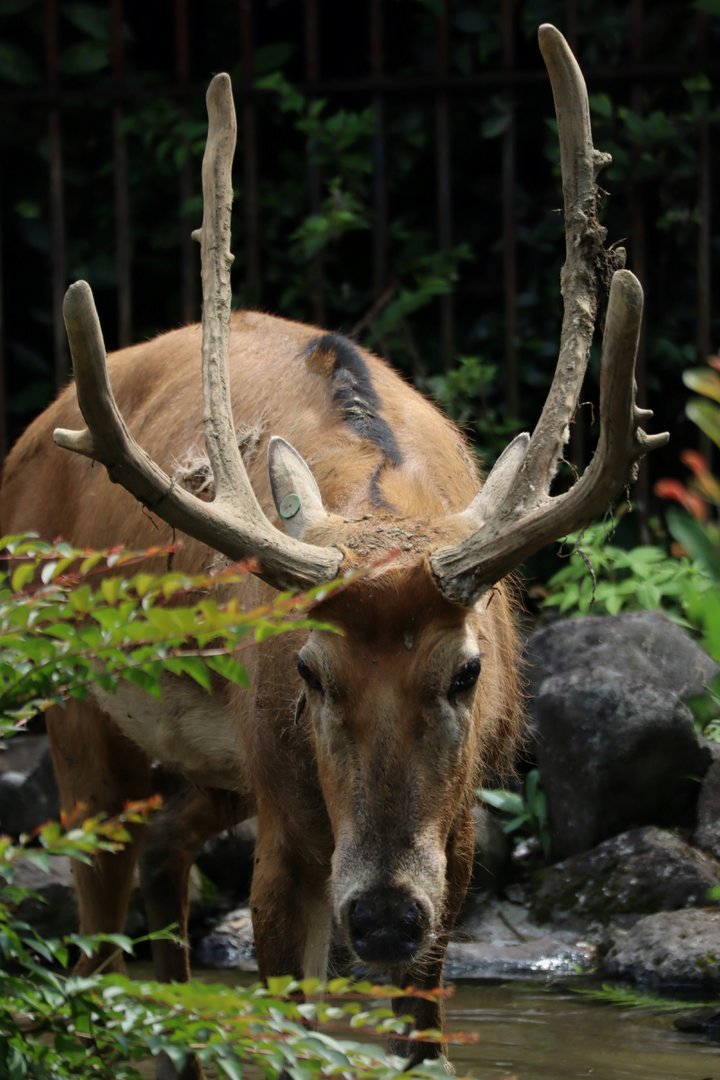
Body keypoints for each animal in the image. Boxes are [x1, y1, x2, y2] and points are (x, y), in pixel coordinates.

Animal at [0, 24, 667, 1078]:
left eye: (467, 671)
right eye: (311, 672)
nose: (384, 917)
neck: (381, 507)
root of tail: (32, 436)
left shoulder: (458, 841)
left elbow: (420, 1035)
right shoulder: (289, 832)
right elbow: (290, 1022)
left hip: (217, 774)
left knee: (166, 861)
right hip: (76, 701)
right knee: (98, 928)